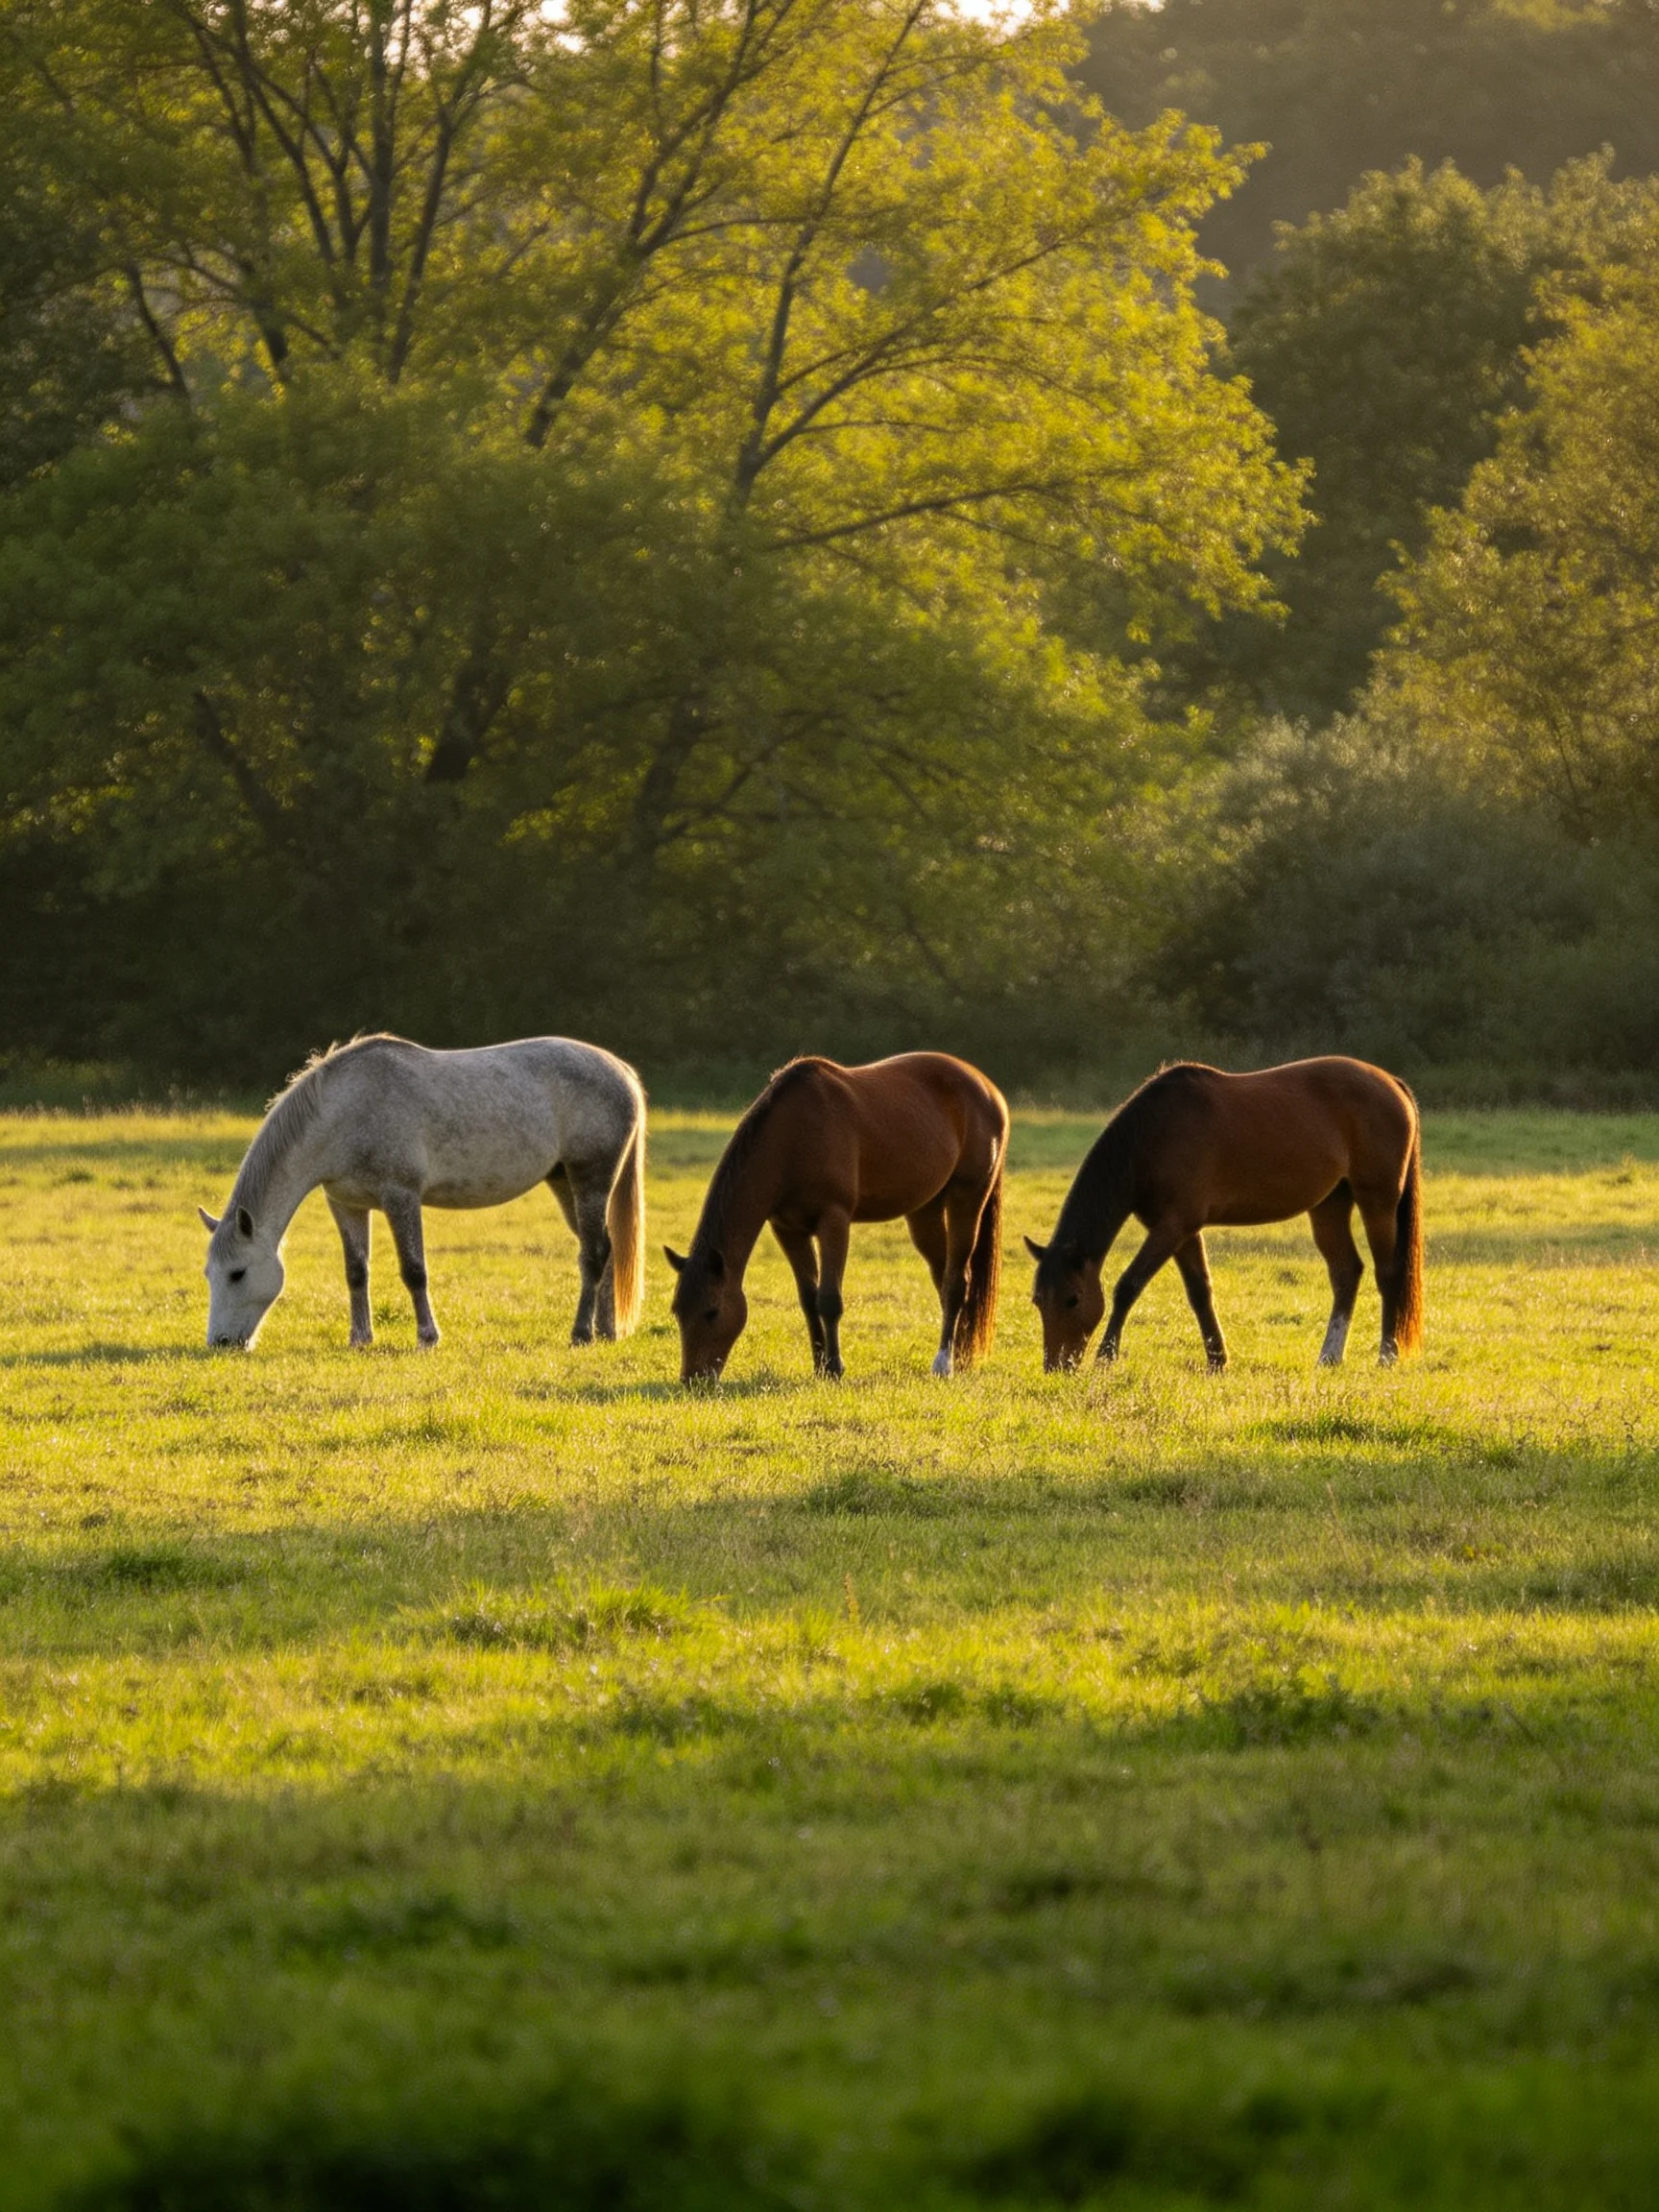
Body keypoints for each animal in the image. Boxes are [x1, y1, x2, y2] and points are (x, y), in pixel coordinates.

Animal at [198, 1034, 645, 1351]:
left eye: (237, 1273)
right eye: (209, 1274)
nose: (221, 1343)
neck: (345, 1112)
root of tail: (621, 1070)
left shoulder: (401, 1197)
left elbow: (414, 1270)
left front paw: (427, 1337)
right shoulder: (346, 1204)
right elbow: (356, 1272)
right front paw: (360, 1339)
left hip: (591, 1178)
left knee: (593, 1253)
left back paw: (581, 1333)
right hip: (563, 1182)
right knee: (604, 1247)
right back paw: (606, 1331)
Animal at [666, 1053, 1008, 1383]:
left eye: (711, 1312)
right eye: (678, 1311)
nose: (694, 1379)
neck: (793, 1137)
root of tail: (988, 1089)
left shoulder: (834, 1222)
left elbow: (829, 1300)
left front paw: (833, 1367)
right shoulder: (788, 1229)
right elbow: (808, 1299)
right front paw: (819, 1365)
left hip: (968, 1196)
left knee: (956, 1281)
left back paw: (943, 1363)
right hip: (925, 1211)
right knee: (942, 1275)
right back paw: (959, 1354)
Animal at [1026, 1056, 1422, 1374]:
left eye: (1073, 1299)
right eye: (1038, 1300)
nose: (1056, 1366)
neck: (1153, 1136)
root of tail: (1392, 1083)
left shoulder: (1173, 1226)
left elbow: (1129, 1285)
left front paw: (1106, 1357)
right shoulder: (1181, 1230)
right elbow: (1200, 1293)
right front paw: (1217, 1360)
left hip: (1377, 1201)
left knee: (1387, 1272)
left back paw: (1386, 1355)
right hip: (1329, 1206)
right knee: (1345, 1273)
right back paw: (1329, 1356)